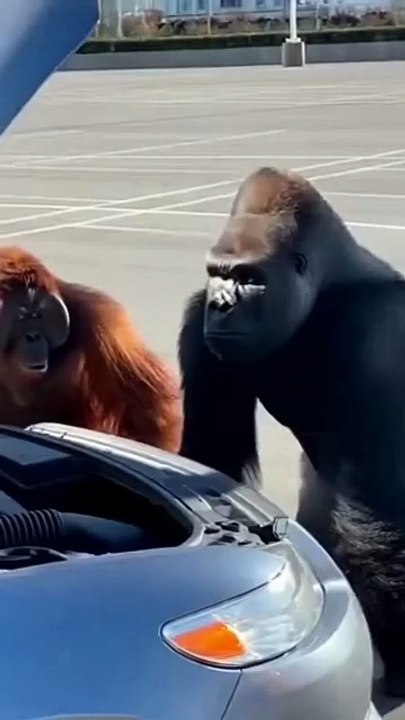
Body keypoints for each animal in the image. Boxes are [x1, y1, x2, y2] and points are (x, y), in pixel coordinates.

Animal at [177, 166, 405, 698]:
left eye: (249, 278)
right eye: (217, 273)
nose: (222, 305)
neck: (326, 289)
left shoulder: (375, 336)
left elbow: (371, 514)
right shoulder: (198, 318)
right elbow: (210, 454)